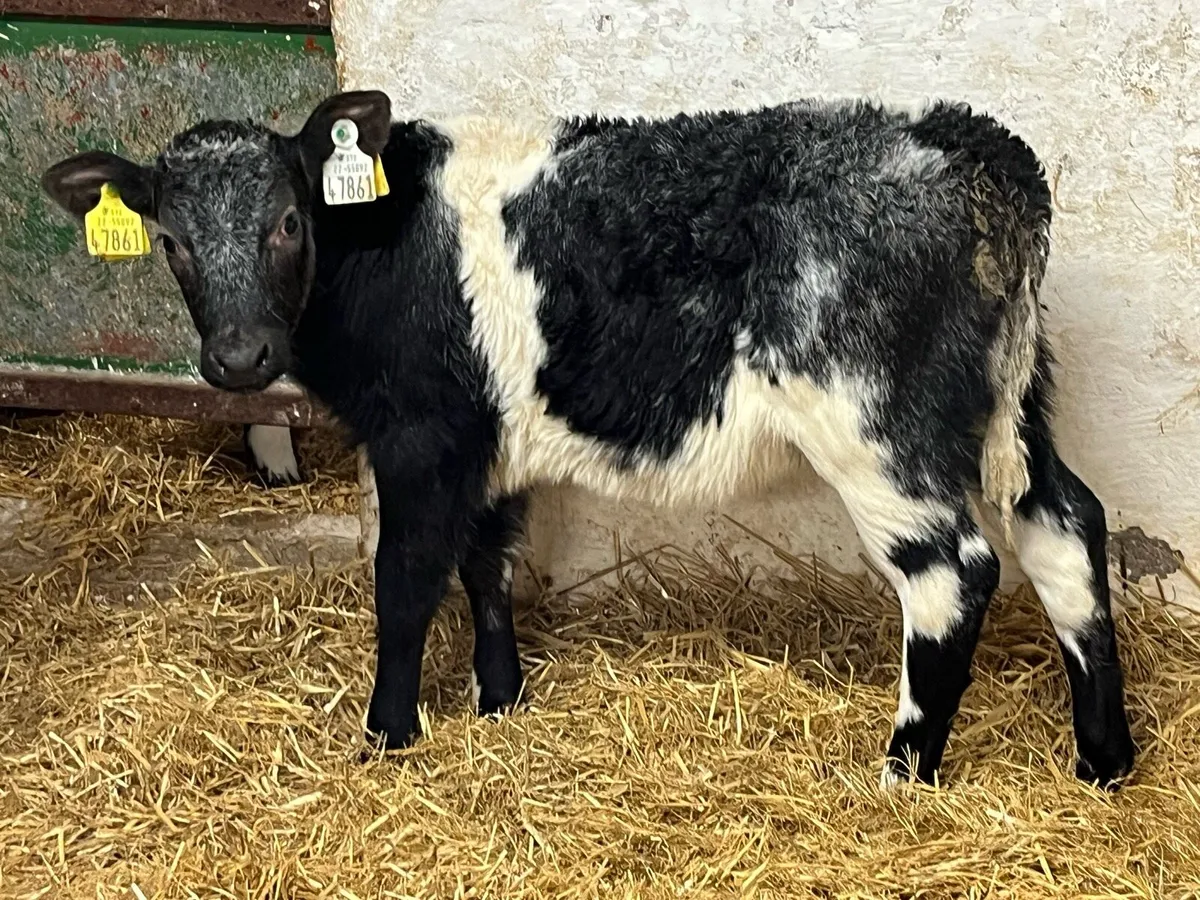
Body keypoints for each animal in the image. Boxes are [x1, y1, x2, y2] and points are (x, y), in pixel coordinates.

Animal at [41, 90, 1135, 789]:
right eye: (171, 241)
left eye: (287, 221)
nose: (238, 358)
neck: (389, 246)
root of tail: (963, 146)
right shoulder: (488, 446)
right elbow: (487, 564)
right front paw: (499, 700)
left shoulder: (422, 437)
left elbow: (404, 584)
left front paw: (388, 735)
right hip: (1012, 404)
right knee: (1066, 527)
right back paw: (1103, 759)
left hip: (877, 426)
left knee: (955, 570)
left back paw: (902, 773)